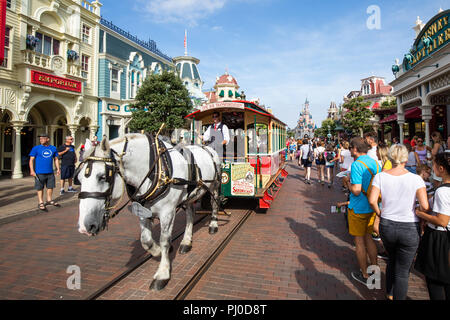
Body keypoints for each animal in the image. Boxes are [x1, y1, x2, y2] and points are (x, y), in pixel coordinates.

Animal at [76, 132, 222, 290]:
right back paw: (186, 242)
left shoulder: (168, 212)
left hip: (214, 186)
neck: (154, 171)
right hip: (189, 196)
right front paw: (157, 251)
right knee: (190, 214)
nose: (85, 227)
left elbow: (164, 240)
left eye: (103, 176)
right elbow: (145, 240)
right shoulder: (142, 210)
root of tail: (207, 148)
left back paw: (213, 225)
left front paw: (162, 273)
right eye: (78, 178)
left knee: (214, 205)